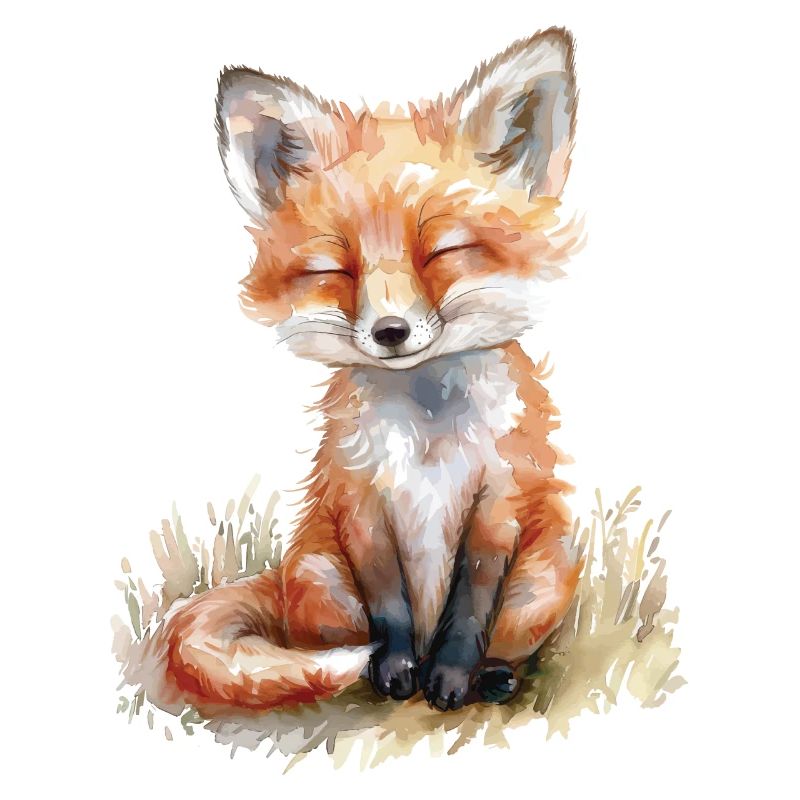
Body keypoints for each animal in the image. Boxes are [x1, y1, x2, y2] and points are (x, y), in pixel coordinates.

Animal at [151, 27, 583, 714]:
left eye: (442, 252)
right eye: (337, 268)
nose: (390, 332)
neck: (429, 437)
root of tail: (282, 579)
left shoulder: (498, 505)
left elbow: (467, 613)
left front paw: (451, 681)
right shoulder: (360, 502)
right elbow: (390, 611)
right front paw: (398, 670)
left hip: (545, 578)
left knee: (506, 640)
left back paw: (493, 677)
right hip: (319, 577)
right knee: (321, 637)